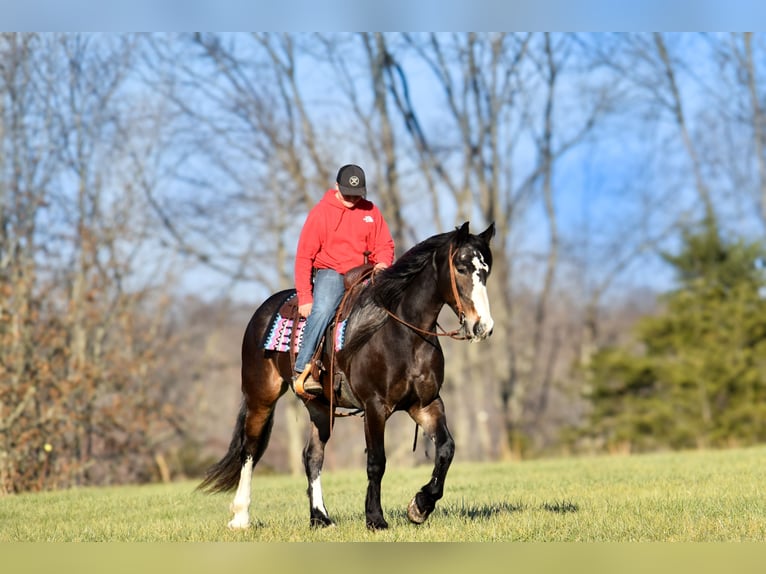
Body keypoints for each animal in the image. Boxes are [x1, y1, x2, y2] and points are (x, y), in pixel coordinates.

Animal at [200, 220, 498, 532]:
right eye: (461, 267)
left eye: (486, 269)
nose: (483, 326)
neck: (404, 334)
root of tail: (264, 309)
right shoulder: (375, 406)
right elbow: (377, 461)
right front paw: (376, 518)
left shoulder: (426, 405)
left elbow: (446, 449)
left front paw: (420, 506)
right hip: (261, 396)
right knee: (250, 449)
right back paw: (240, 516)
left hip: (319, 407)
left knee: (312, 456)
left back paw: (320, 517)